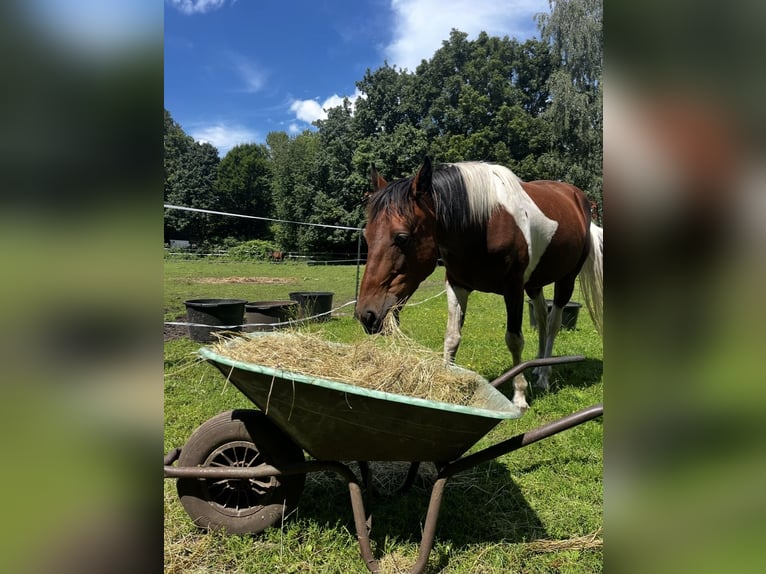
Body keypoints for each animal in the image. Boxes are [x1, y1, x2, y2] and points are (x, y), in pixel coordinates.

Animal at [356, 158, 603, 410]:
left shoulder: (513, 288)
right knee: (542, 316)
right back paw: (537, 366)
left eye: (402, 237)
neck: (484, 222)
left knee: (553, 322)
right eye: (366, 236)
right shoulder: (457, 285)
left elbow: (514, 339)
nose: (367, 314)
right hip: (534, 283)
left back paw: (544, 375)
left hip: (566, 279)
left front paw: (519, 396)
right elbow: (452, 336)